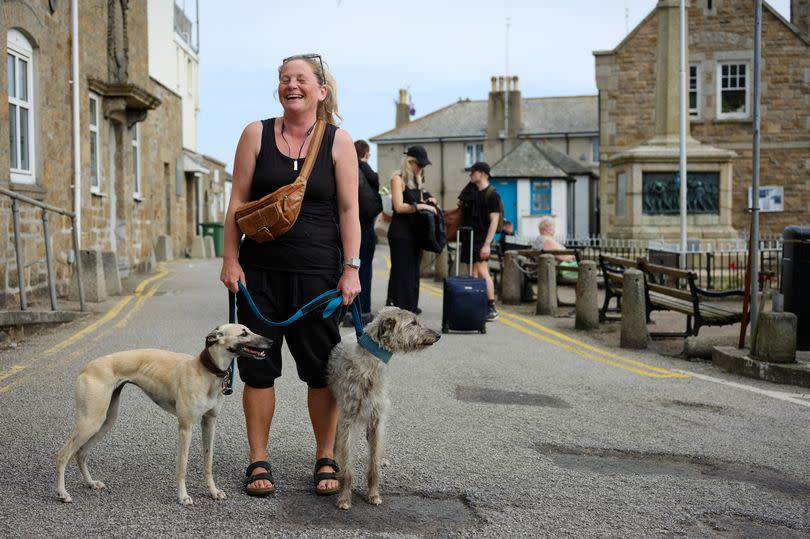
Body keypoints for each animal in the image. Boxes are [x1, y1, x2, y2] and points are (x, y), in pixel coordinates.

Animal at [56, 324, 274, 506]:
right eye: (243, 333)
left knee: (80, 453)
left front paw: (213, 492)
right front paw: (183, 497)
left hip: (106, 421)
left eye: (249, 330)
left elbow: (208, 462)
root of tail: (86, 367)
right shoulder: (185, 427)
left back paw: (91, 483)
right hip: (90, 421)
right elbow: (182, 466)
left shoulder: (209, 422)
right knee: (63, 454)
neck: (204, 371)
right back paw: (62, 493)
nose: (271, 342)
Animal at [326, 308, 442, 510]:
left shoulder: (376, 421)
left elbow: (373, 465)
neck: (370, 362)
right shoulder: (348, 420)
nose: (438, 335)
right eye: (413, 323)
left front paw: (373, 494)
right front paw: (344, 498)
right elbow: (347, 465)